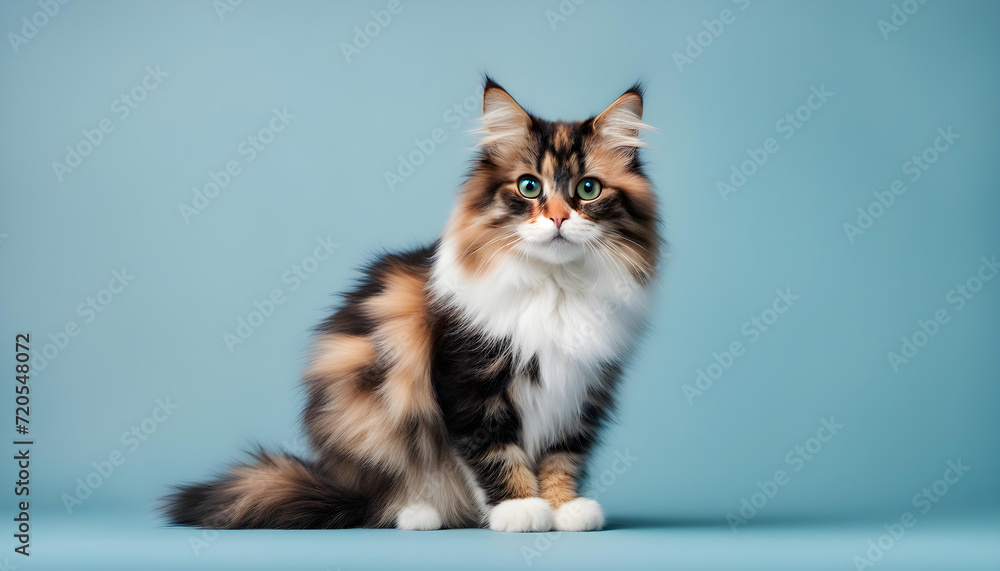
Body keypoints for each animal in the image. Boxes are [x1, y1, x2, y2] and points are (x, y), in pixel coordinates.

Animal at [162, 75, 664, 532]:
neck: (555, 287)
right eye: (528, 187)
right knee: (388, 499)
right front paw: (520, 509)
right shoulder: (468, 384)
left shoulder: (582, 391)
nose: (559, 218)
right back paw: (421, 514)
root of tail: (343, 487)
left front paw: (565, 509)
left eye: (588, 190)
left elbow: (563, 457)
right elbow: (496, 453)